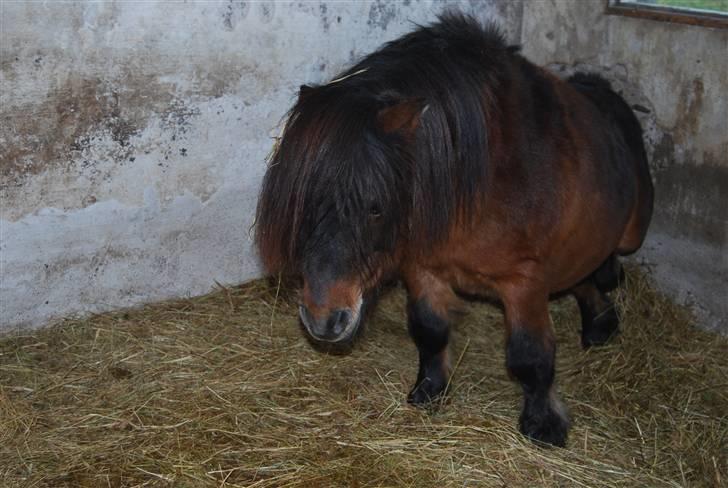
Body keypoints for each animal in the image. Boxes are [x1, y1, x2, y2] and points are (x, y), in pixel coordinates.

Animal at [255, 13, 656, 448]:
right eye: (304, 203)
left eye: (375, 207)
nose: (323, 321)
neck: (481, 181)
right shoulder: (423, 270)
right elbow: (430, 331)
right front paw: (430, 390)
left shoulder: (525, 283)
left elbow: (531, 356)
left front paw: (543, 423)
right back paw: (601, 322)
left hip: (629, 235)